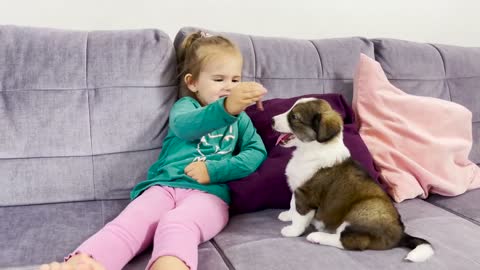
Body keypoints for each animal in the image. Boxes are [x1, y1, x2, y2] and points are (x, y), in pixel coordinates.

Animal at [272, 97, 434, 262]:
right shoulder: (297, 188)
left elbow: (300, 216)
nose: (271, 121)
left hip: (364, 210)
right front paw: (287, 215)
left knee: (351, 241)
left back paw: (317, 236)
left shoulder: (306, 194)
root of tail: (401, 234)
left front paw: (292, 230)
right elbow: (293, 205)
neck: (310, 149)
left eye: (294, 117)